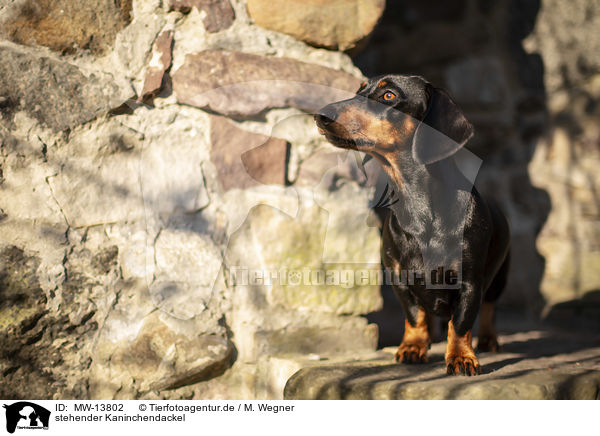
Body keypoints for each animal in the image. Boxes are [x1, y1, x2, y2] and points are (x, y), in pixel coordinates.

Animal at [314, 75, 510, 374]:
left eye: (388, 95)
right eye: (359, 90)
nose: (321, 115)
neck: (419, 207)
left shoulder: (470, 283)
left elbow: (460, 324)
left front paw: (461, 357)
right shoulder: (400, 278)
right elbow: (415, 316)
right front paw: (413, 347)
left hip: (499, 277)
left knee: (489, 308)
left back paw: (488, 339)